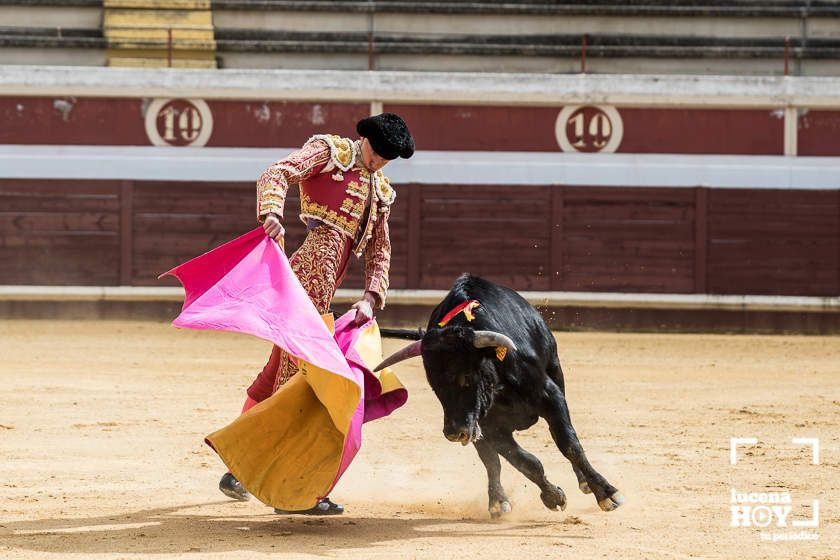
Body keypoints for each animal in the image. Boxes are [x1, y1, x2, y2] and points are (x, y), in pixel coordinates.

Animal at [376, 274, 624, 520]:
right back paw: (498, 502)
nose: (454, 433)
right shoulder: (487, 425)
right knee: (491, 462)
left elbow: (569, 444)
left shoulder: (551, 396)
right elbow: (523, 461)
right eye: (434, 386)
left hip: (555, 370)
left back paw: (584, 482)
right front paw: (553, 496)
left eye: (466, 376)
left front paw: (606, 493)